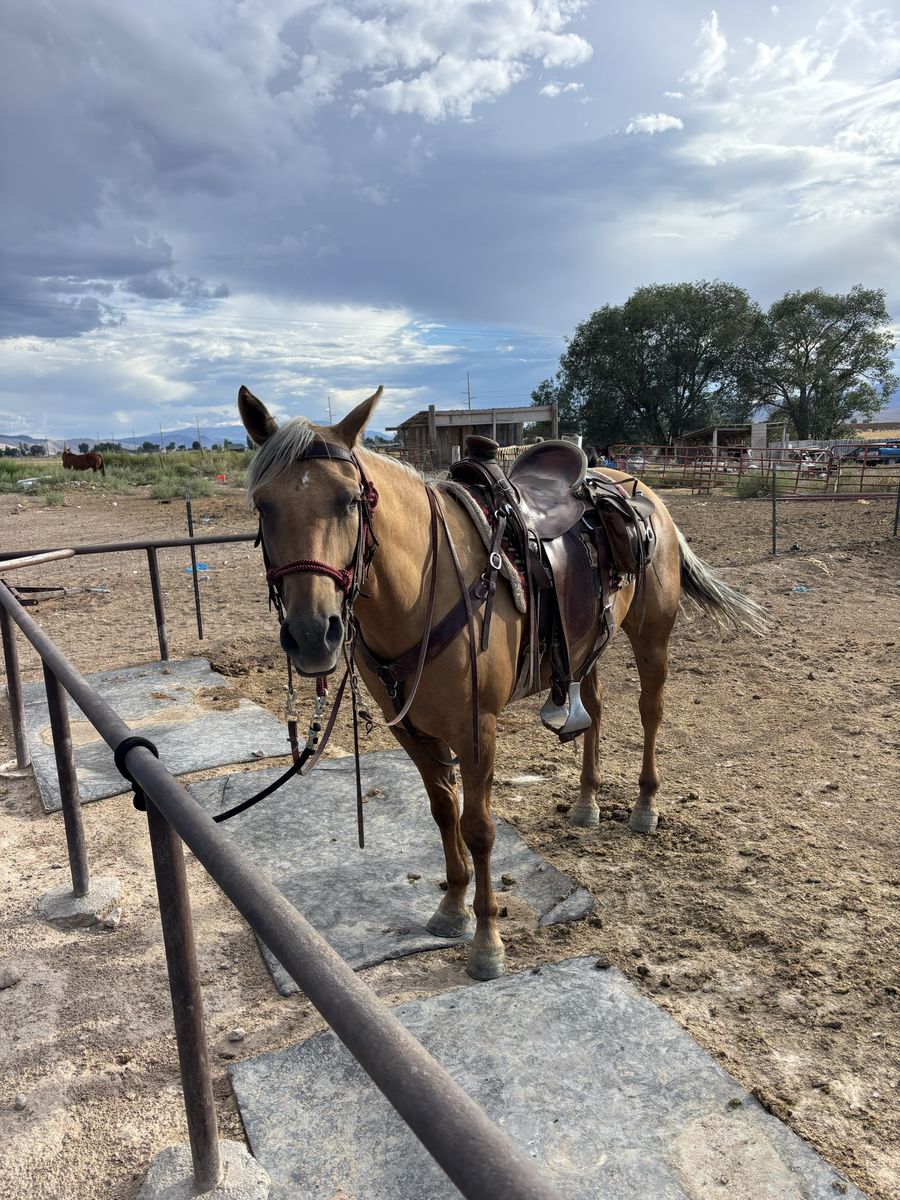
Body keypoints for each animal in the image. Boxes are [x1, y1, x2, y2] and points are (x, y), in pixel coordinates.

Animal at [238, 385, 767, 981]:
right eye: (262, 505)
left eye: (350, 500)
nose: (312, 635)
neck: (424, 588)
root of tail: (641, 490)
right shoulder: (412, 729)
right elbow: (442, 810)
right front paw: (452, 907)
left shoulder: (477, 731)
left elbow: (479, 827)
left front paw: (487, 939)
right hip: (587, 644)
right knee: (596, 709)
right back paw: (587, 802)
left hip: (652, 638)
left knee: (650, 712)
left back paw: (645, 807)